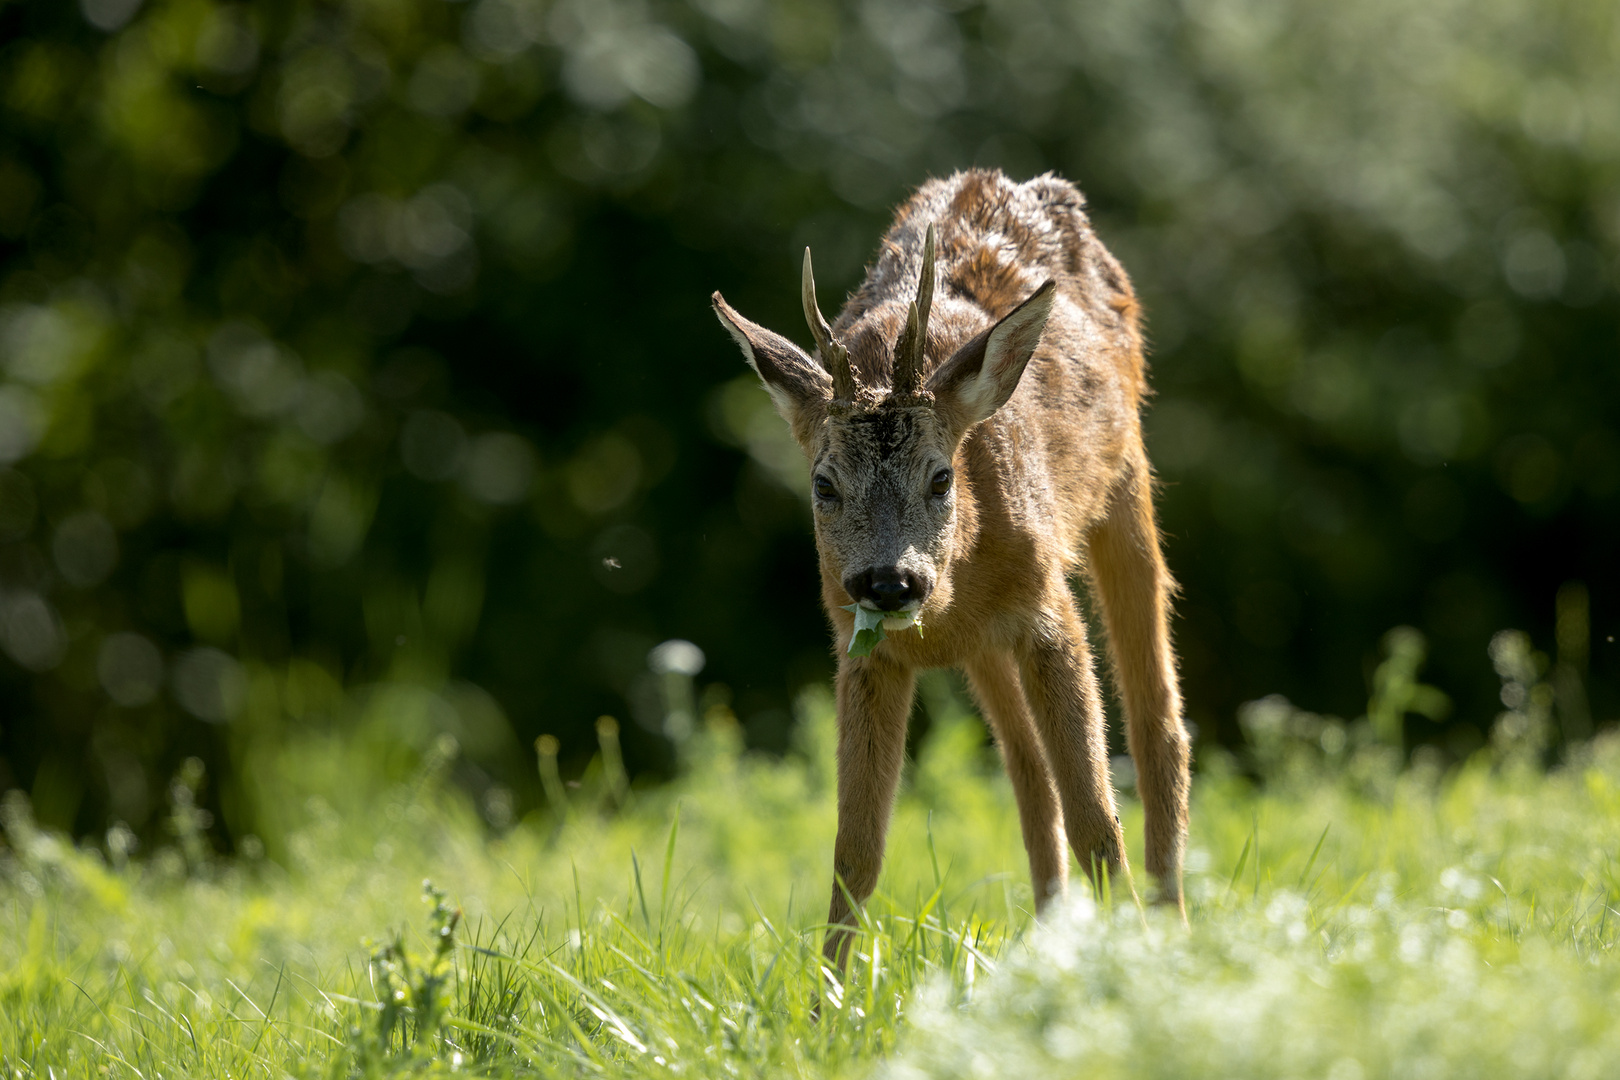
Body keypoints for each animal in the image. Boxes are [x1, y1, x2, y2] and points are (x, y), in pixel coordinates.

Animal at [709, 170, 1192, 971]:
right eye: (823, 485)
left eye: (940, 477)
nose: (889, 582)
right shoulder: (863, 651)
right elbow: (856, 851)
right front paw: (826, 997)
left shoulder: (1047, 610)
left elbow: (1097, 818)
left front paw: (1131, 966)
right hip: (987, 649)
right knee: (1028, 772)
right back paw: (1051, 938)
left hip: (1125, 478)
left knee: (1158, 725)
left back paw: (1171, 925)